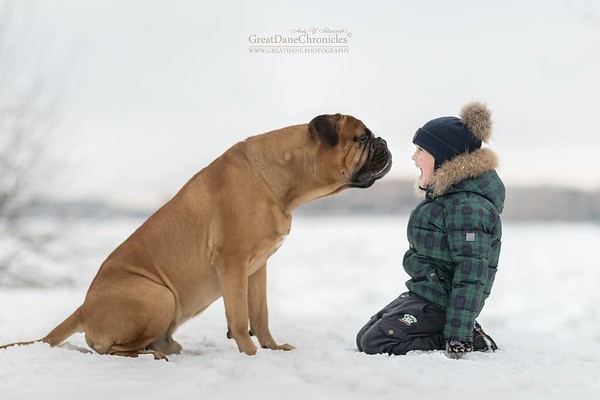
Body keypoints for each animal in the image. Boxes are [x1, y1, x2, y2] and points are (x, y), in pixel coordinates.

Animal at [2, 113, 394, 360]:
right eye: (361, 137)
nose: (384, 140)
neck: (281, 178)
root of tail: (82, 308)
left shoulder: (257, 268)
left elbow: (260, 315)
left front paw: (272, 348)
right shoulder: (233, 263)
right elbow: (239, 318)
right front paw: (250, 354)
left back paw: (164, 347)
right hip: (157, 294)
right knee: (112, 350)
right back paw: (152, 354)